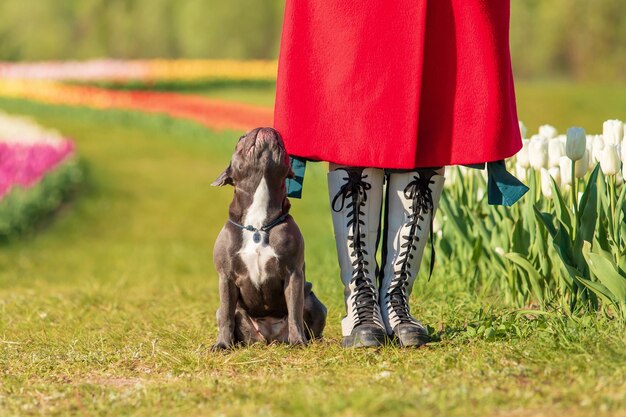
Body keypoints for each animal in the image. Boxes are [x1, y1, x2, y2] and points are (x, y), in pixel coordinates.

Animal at [211, 126, 326, 348]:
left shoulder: (293, 274)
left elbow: (294, 311)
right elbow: (227, 315)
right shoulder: (226, 277)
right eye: (241, 138)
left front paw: (298, 342)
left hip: (314, 301)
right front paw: (222, 345)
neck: (257, 224)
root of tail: (271, 337)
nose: (265, 127)